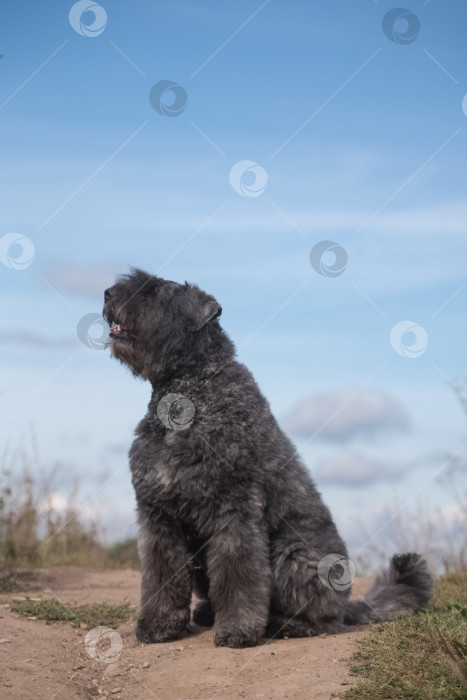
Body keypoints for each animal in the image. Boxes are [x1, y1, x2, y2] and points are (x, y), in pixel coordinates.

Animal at [104, 266, 434, 644]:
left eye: (156, 292)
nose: (108, 294)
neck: (186, 397)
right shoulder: (158, 516)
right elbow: (161, 575)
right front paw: (158, 627)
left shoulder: (234, 512)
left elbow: (240, 574)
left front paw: (238, 630)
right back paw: (207, 612)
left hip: (295, 557)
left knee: (322, 617)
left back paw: (283, 624)